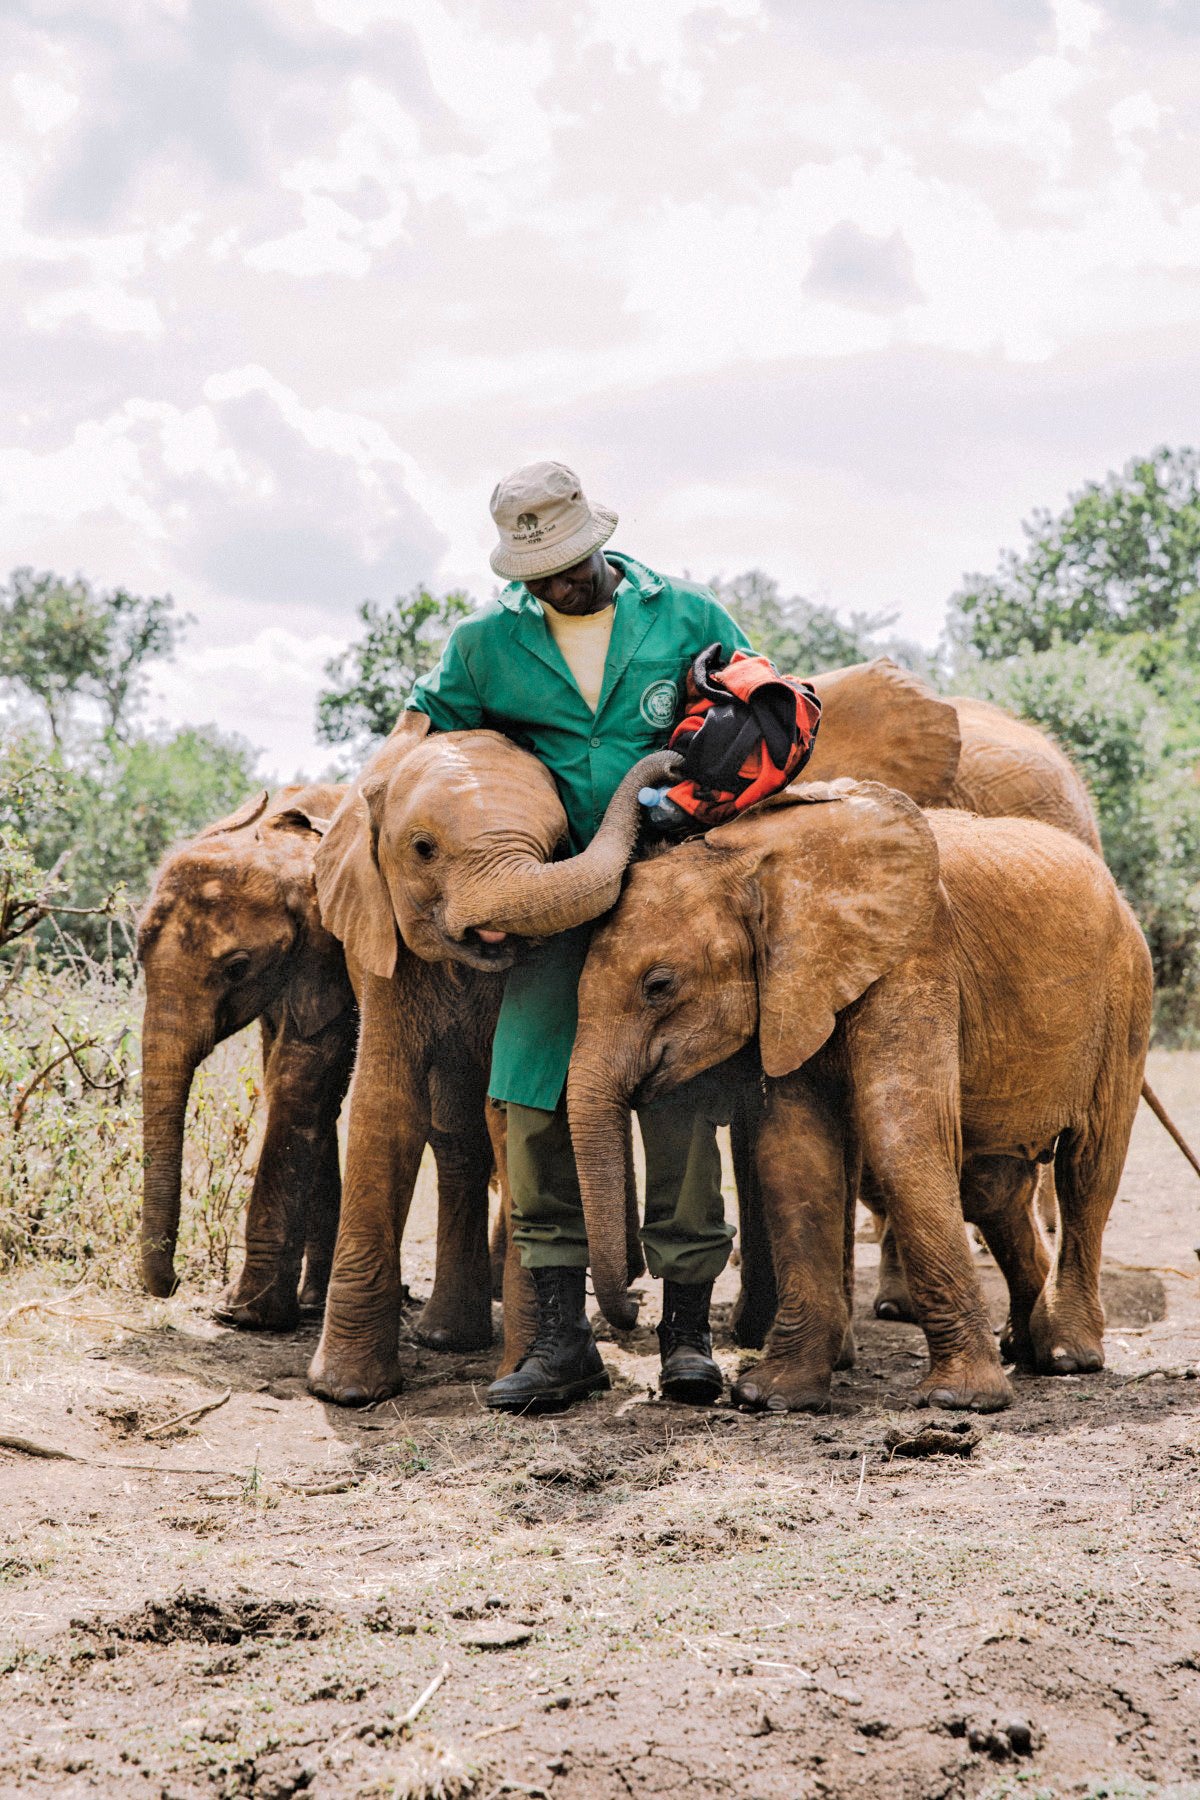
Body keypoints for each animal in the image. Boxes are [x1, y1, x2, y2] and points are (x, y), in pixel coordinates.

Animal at [564, 780, 1153, 1413]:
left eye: (659, 986)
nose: (631, 1303)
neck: (746, 861)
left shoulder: (913, 956)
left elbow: (901, 1134)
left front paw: (960, 1400)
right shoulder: (792, 987)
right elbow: (795, 1155)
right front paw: (772, 1397)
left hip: (1126, 997)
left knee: (1087, 1168)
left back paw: (1069, 1356)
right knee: (994, 1189)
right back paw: (1026, 1345)